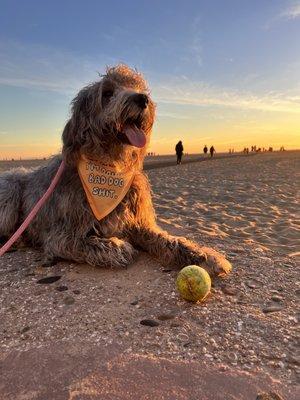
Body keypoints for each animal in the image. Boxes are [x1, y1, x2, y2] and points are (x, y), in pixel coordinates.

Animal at [0, 65, 232, 278]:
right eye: (107, 93)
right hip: (10, 188)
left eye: (136, 87)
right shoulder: (61, 234)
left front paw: (203, 255)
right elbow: (81, 242)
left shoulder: (136, 222)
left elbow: (167, 240)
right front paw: (119, 247)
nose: (143, 99)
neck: (110, 165)